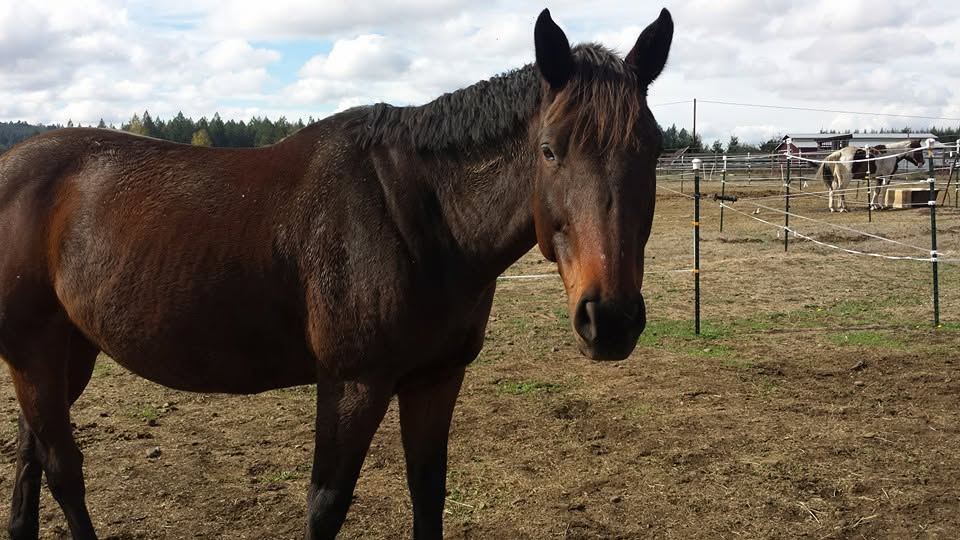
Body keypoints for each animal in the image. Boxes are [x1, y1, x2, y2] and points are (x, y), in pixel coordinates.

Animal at [0, 8, 673, 540]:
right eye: (550, 149)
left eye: (652, 149)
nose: (610, 318)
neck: (418, 215)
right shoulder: (354, 383)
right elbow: (326, 505)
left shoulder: (435, 378)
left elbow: (428, 494)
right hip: (34, 353)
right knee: (61, 468)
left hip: (70, 353)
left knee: (32, 456)